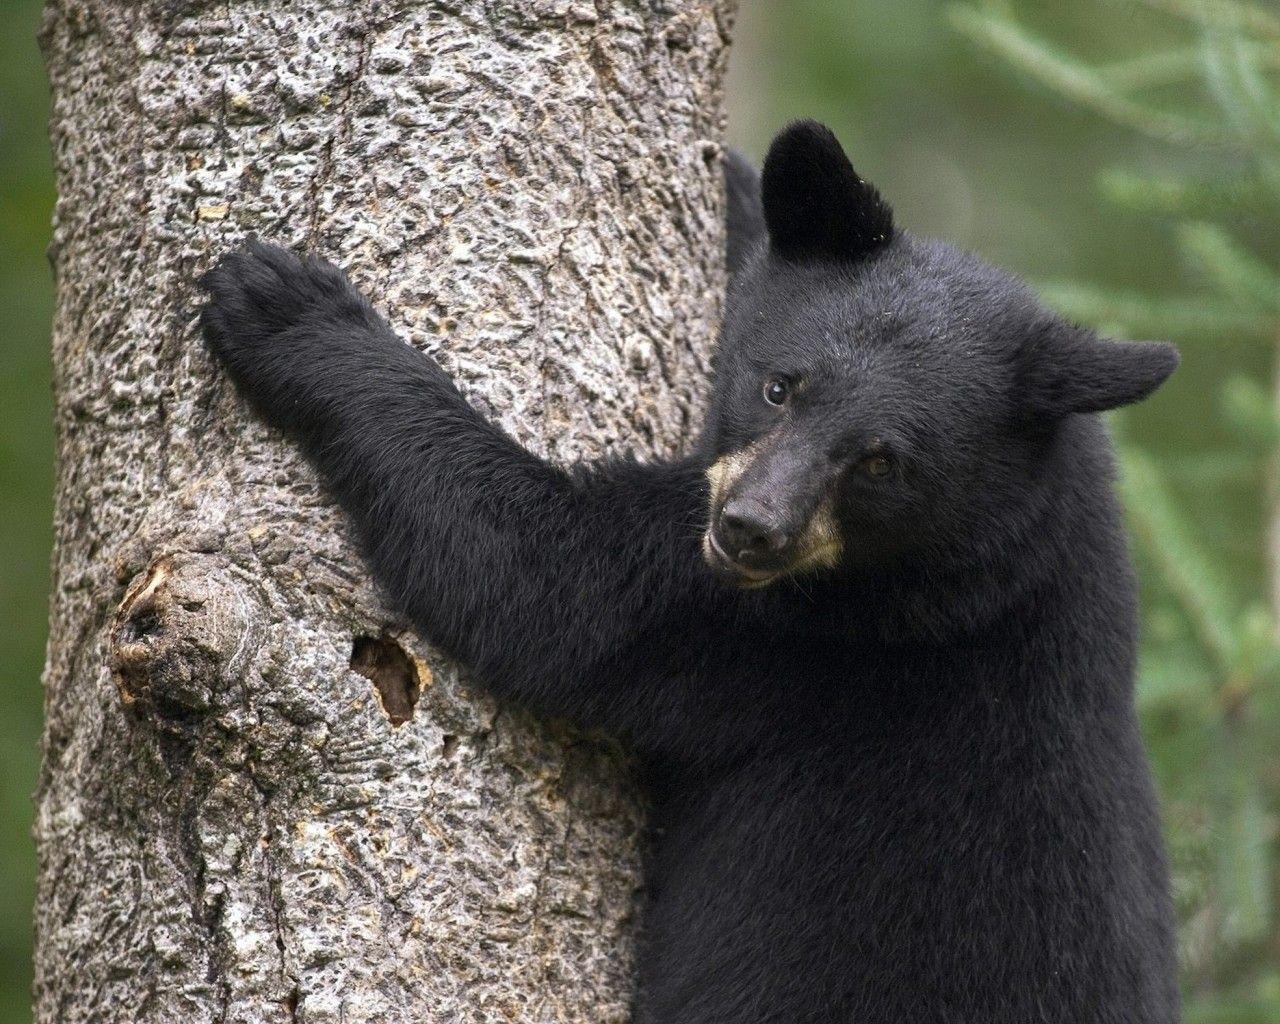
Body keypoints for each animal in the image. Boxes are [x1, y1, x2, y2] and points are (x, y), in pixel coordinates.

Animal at [198, 120, 1181, 1023]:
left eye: (881, 462)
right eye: (780, 385)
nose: (750, 530)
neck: (1010, 540)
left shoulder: (812, 635)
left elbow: (545, 585)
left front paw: (290, 310)